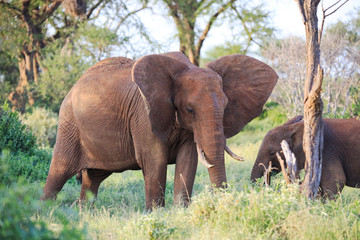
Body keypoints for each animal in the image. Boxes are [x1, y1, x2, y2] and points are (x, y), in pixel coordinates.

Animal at [42, 51, 278, 209]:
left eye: (226, 106)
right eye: (190, 110)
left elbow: (188, 160)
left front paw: (180, 211)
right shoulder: (144, 115)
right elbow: (155, 160)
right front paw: (155, 213)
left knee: (93, 178)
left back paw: (86, 213)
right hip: (68, 124)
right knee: (59, 172)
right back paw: (44, 212)